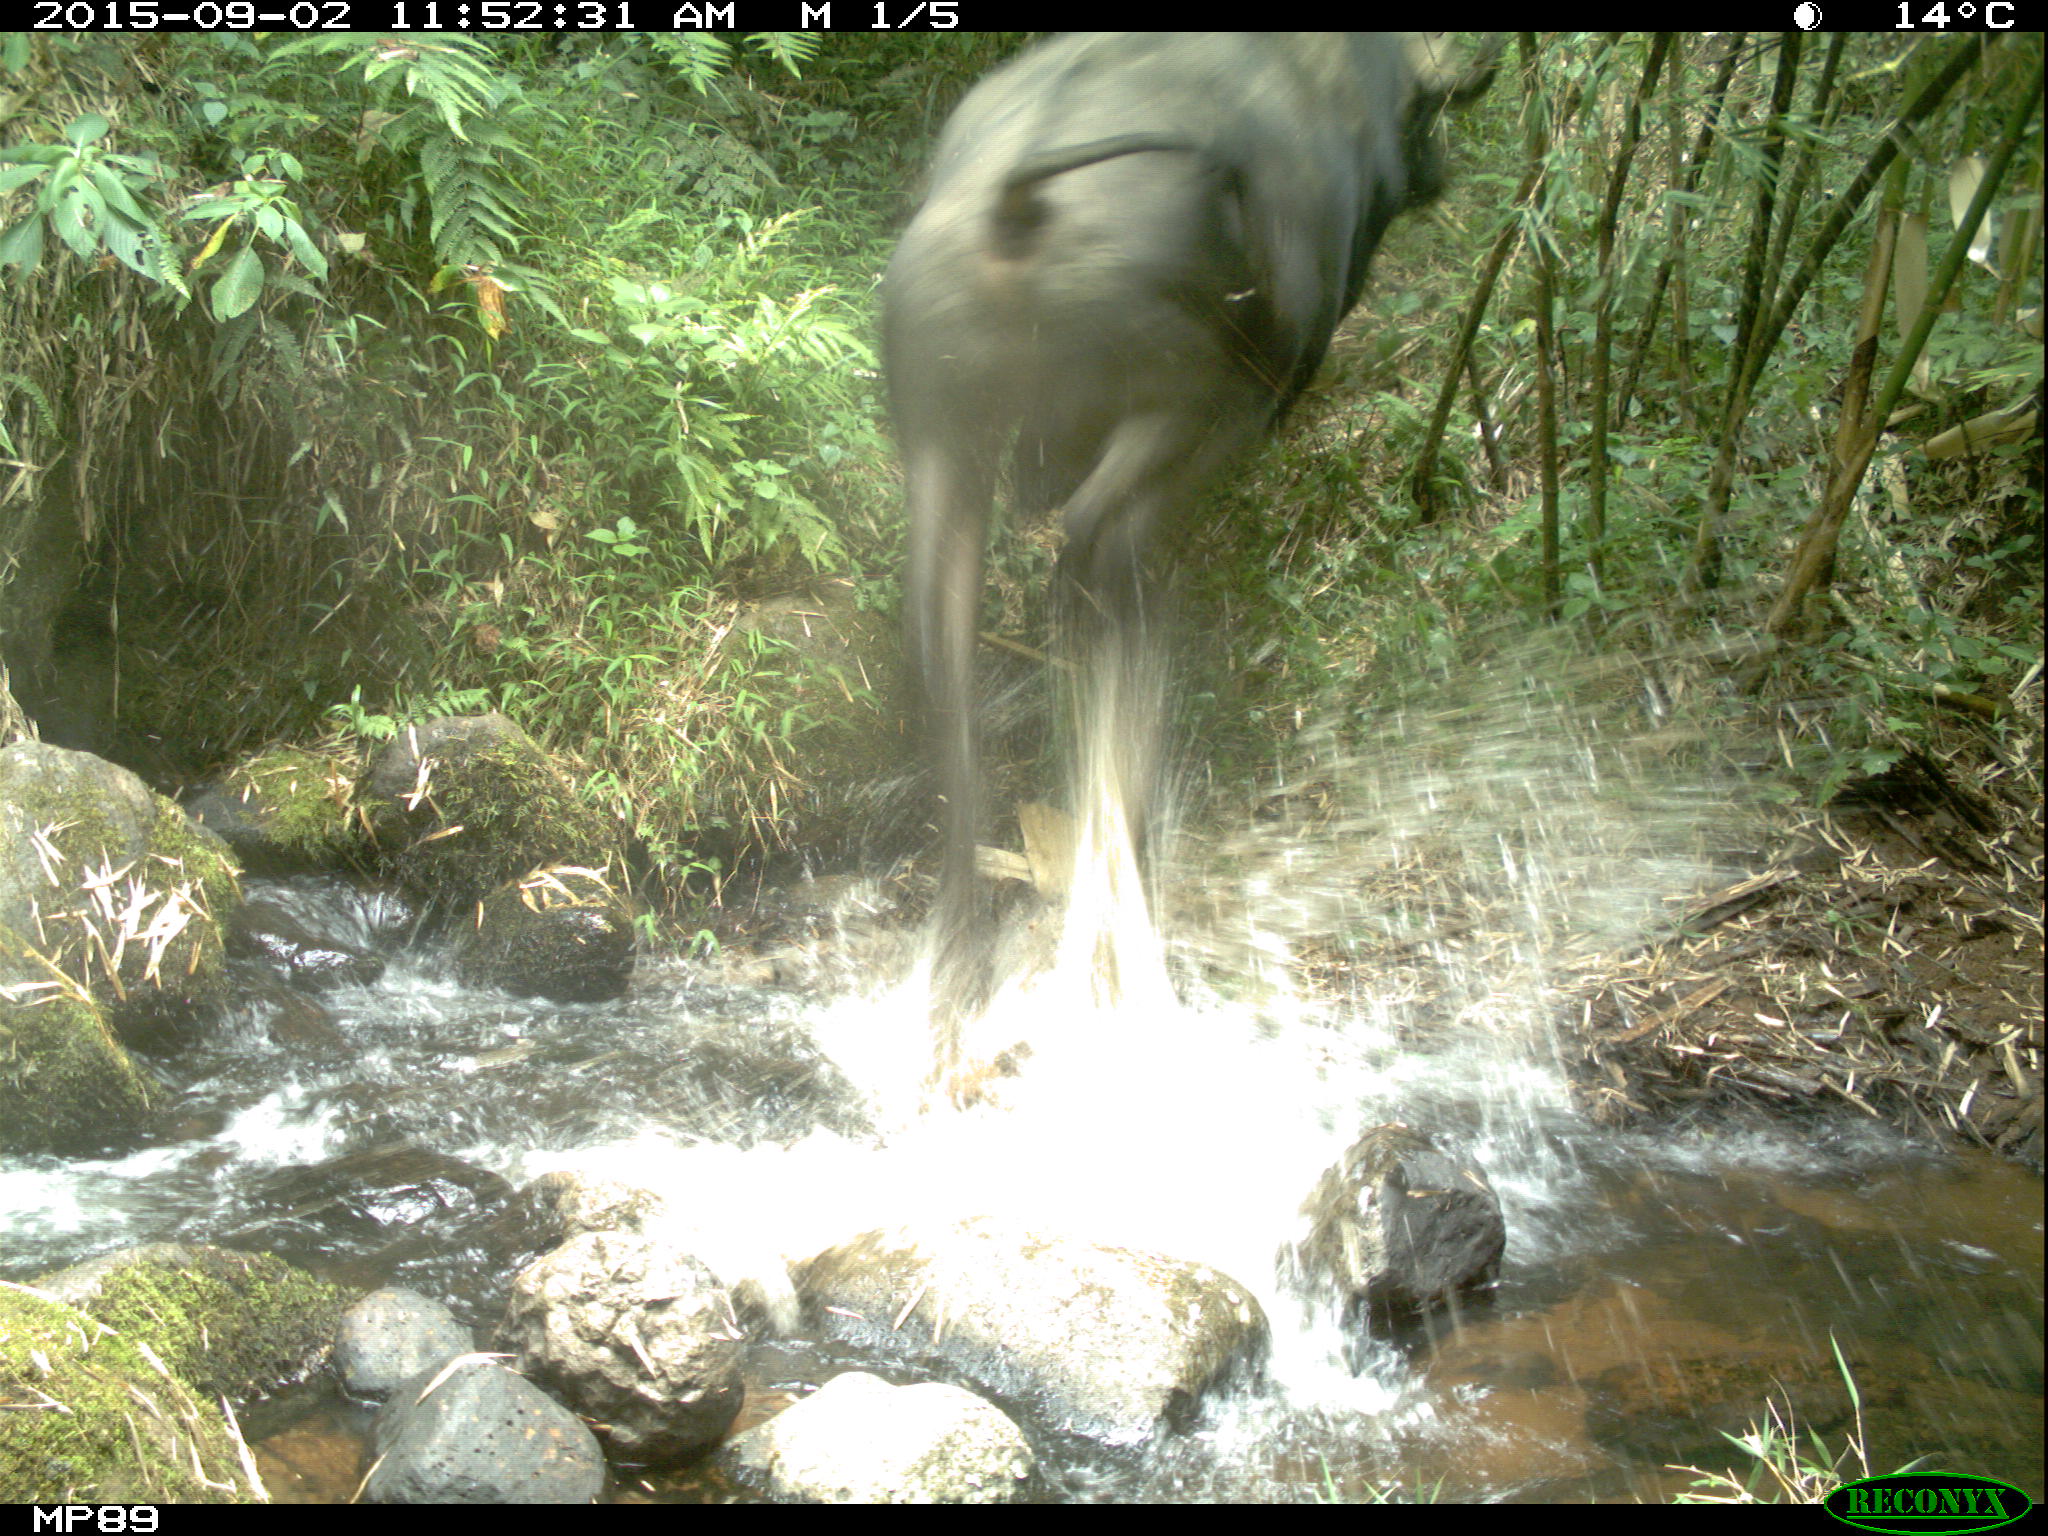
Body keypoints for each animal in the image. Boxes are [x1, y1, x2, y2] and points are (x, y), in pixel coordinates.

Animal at [888, 33, 1499, 1081]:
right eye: (1425, 115)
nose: (1443, 167)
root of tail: (1015, 199)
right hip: (1187, 403)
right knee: (1097, 546)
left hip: (946, 444)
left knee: (951, 660)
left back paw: (958, 991)